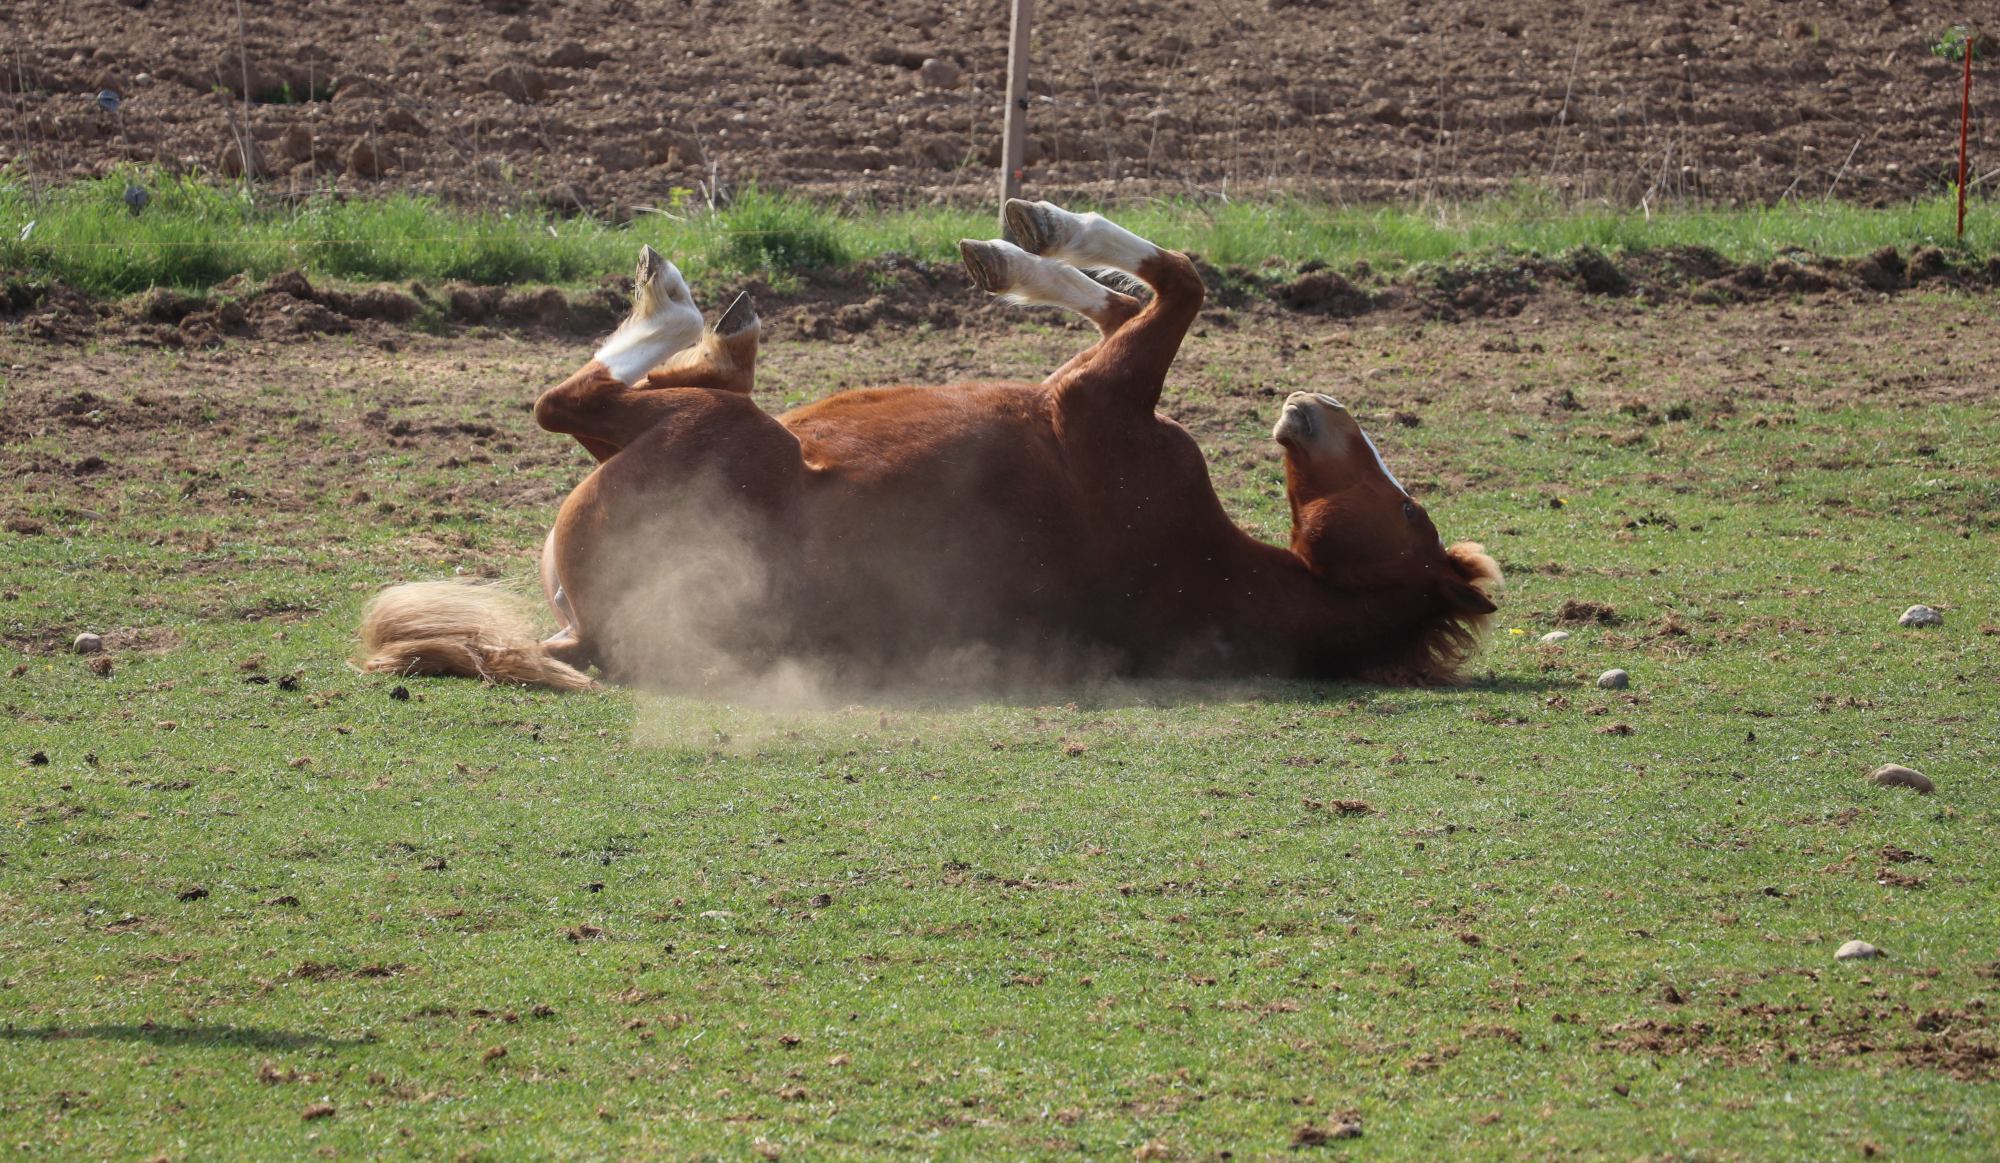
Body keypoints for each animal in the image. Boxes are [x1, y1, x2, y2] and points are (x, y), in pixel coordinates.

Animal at [368, 200, 1504, 691]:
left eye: (1407, 509)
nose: (1312, 405)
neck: (1213, 571)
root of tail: (585, 632)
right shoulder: (1090, 382)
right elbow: (1124, 296)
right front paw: (1011, 254)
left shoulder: (1097, 395)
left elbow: (1178, 282)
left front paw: (1042, 225)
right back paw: (728, 330)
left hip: (699, 433)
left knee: (570, 400)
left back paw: (686, 303)